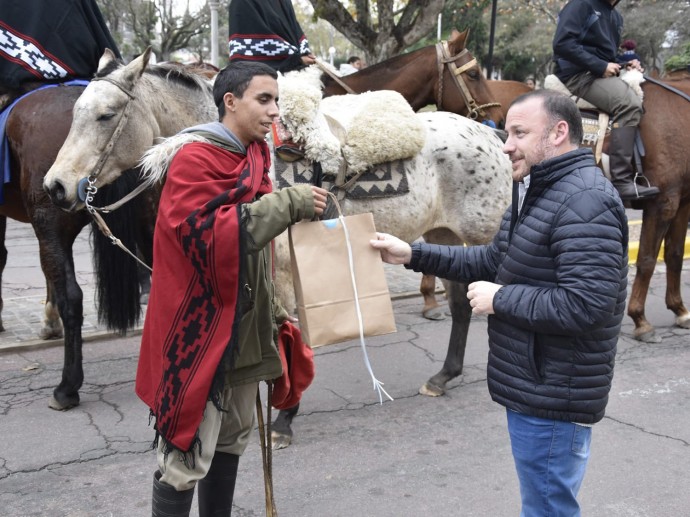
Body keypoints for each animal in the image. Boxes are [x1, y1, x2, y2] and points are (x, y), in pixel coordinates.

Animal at [41, 48, 510, 446]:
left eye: (106, 115)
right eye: (75, 113)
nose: (56, 186)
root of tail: (495, 138)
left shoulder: (283, 269)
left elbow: (292, 335)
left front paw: (284, 417)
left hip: (482, 235)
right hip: (444, 234)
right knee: (461, 305)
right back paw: (443, 376)